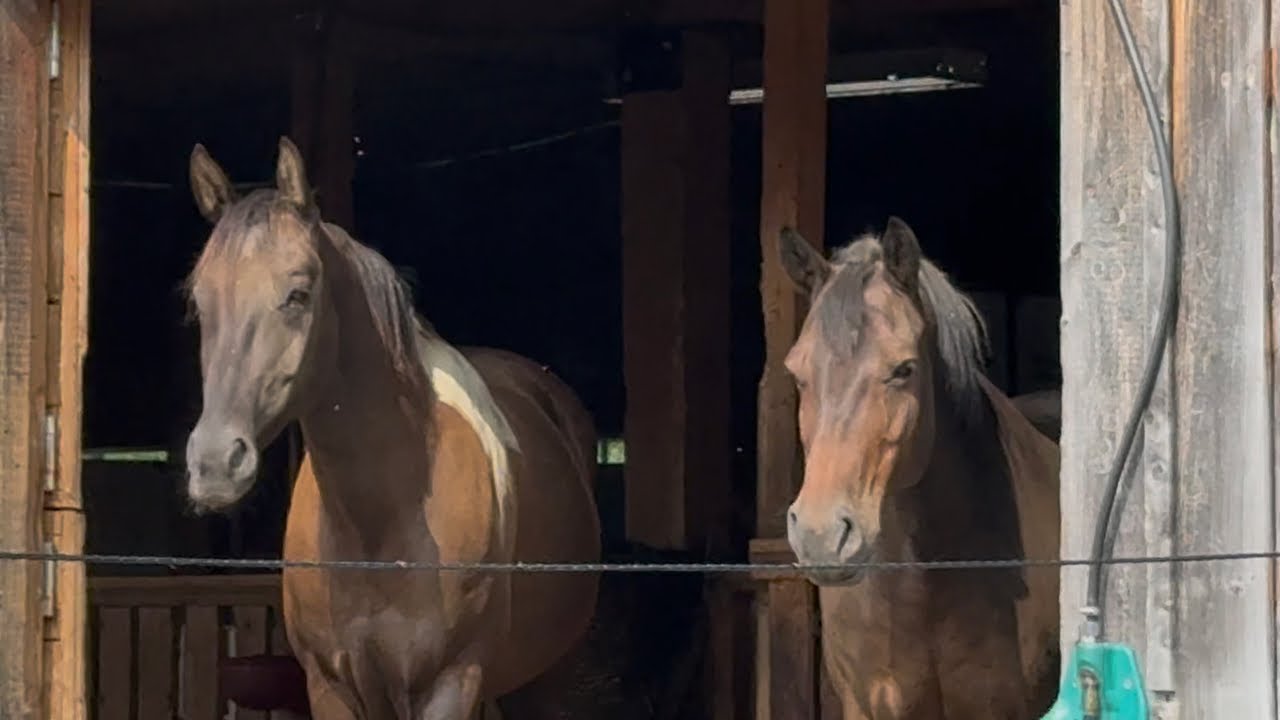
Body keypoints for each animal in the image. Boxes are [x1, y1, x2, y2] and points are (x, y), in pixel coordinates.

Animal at [180, 137, 602, 720]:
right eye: (200, 302)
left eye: (298, 294)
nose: (216, 463)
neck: (380, 521)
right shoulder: (332, 687)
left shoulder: (450, 684)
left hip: (549, 677)